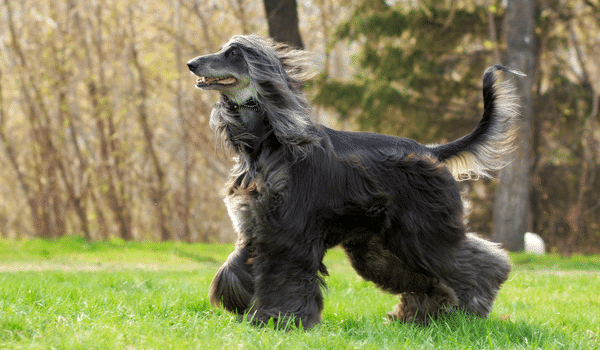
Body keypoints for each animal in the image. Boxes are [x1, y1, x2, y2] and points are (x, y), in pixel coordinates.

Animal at [188, 34, 520, 330]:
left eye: (234, 53)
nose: (192, 64)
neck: (267, 142)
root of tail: (431, 150)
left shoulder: (289, 229)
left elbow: (284, 274)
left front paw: (280, 320)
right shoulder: (256, 222)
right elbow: (237, 264)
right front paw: (241, 304)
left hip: (423, 231)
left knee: (480, 264)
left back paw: (472, 310)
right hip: (383, 244)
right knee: (425, 277)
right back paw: (419, 317)